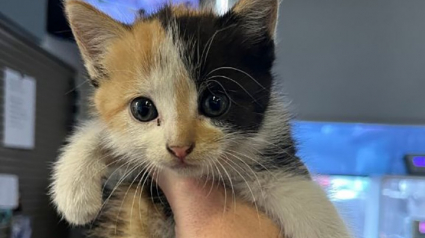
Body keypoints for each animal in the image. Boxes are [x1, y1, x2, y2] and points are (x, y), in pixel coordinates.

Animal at [51, 0, 352, 237]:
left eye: (215, 103)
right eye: (143, 109)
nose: (179, 148)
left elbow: (302, 195)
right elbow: (103, 132)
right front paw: (74, 192)